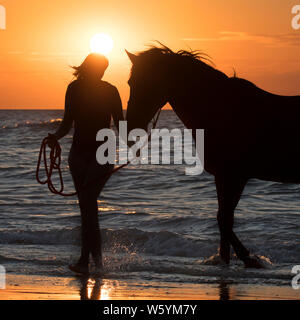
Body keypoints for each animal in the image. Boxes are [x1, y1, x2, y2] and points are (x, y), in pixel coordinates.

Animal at [125, 44, 300, 268]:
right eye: (131, 83)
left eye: (150, 82)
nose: (131, 125)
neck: (222, 111)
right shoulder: (222, 176)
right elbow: (223, 217)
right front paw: (227, 261)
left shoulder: (236, 176)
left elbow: (224, 219)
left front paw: (249, 258)